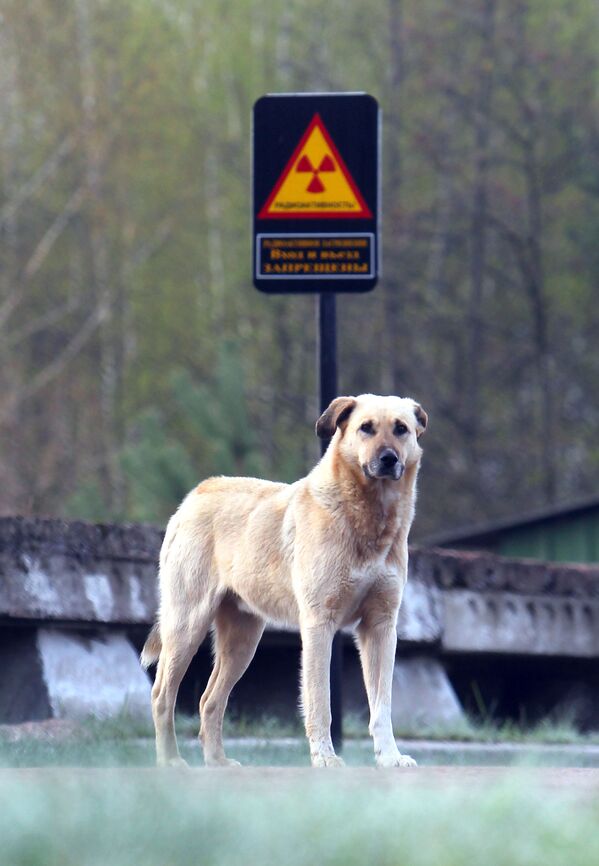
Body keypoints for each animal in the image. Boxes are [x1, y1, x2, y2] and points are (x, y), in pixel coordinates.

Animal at [143, 394, 428, 768]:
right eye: (366, 428)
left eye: (401, 429)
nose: (389, 459)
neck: (365, 517)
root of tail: (196, 494)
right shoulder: (319, 625)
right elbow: (320, 703)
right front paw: (325, 758)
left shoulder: (380, 627)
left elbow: (381, 707)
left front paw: (390, 758)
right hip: (186, 625)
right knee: (162, 694)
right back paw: (170, 762)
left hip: (242, 641)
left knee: (210, 701)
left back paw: (218, 763)